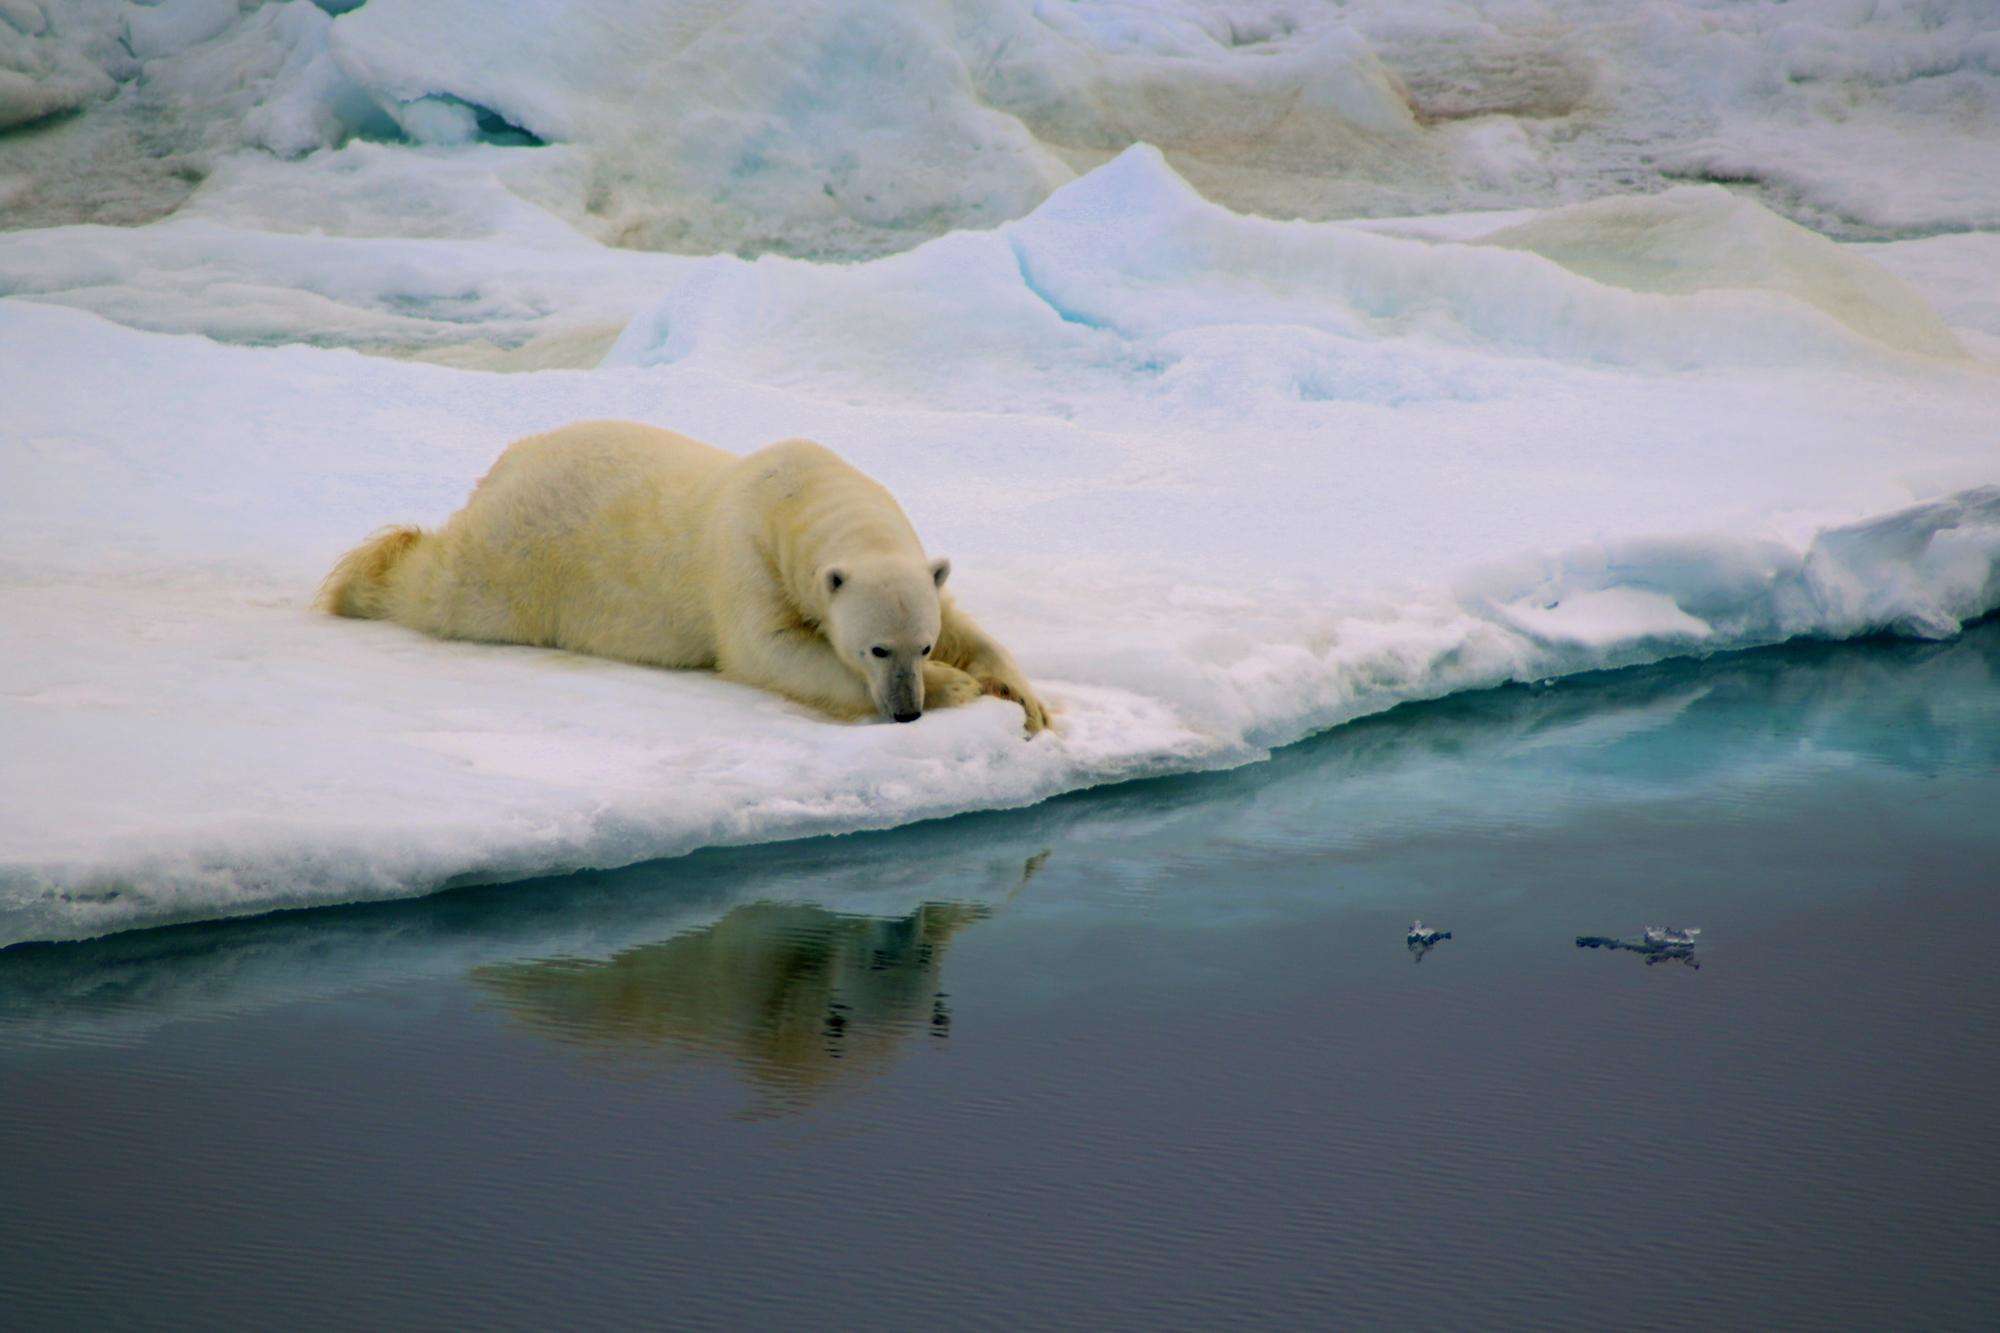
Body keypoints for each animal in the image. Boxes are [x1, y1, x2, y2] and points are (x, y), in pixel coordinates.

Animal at [316, 420, 1048, 732]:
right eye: (875, 649)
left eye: (918, 644)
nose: (905, 710)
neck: (800, 493)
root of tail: (504, 466)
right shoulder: (744, 557)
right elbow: (769, 650)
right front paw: (958, 686)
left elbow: (963, 618)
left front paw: (1022, 695)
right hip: (520, 556)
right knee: (442, 586)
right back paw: (360, 579)